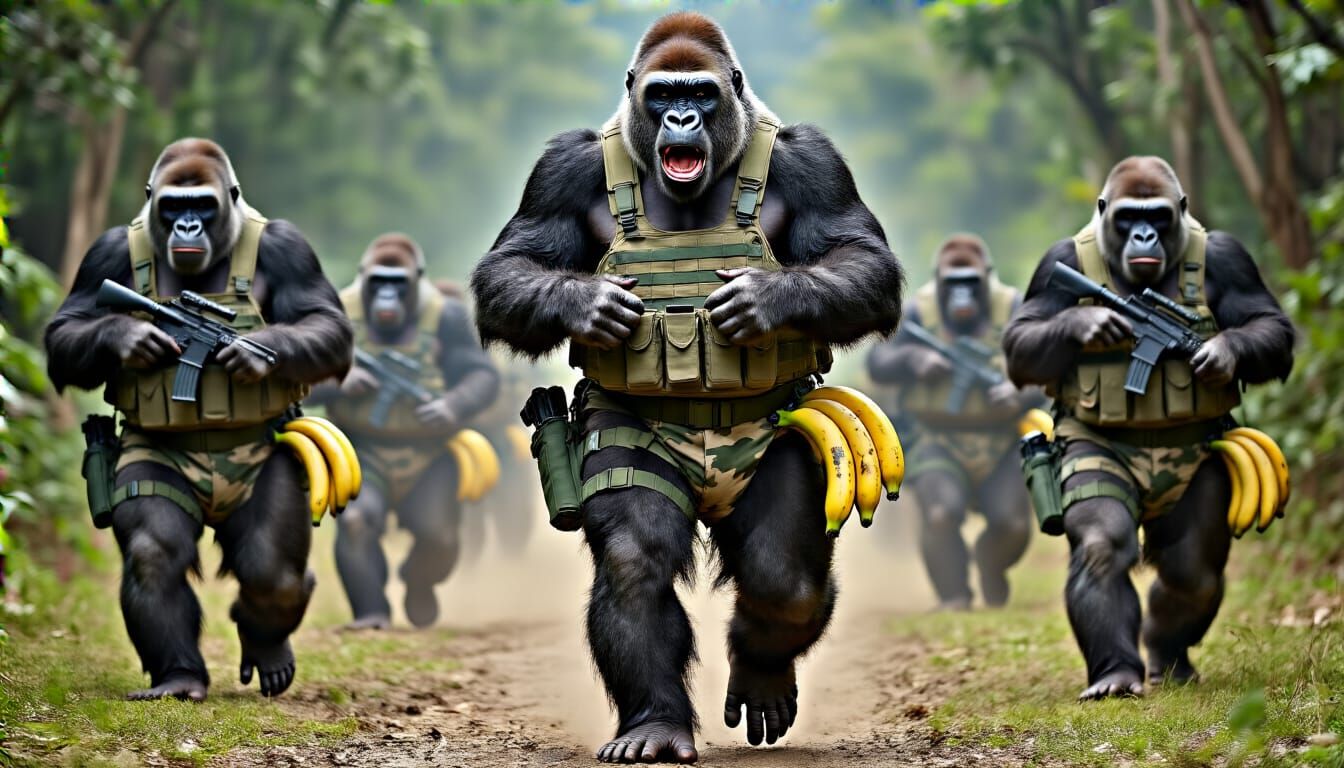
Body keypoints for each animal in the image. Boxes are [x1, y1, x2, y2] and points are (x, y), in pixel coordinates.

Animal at [45, 138, 353, 702]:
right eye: (173, 205)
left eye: (204, 206)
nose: (187, 226)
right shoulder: (104, 252)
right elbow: (67, 327)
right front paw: (130, 337)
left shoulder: (290, 247)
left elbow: (326, 321)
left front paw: (255, 354)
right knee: (155, 551)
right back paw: (180, 677)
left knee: (272, 571)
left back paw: (269, 652)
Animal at [309, 234, 499, 630]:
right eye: (379, 280)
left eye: (397, 282)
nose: (386, 296)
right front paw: (355, 380)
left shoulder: (455, 321)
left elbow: (479, 370)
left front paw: (441, 411)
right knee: (361, 522)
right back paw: (372, 613)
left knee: (437, 533)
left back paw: (418, 598)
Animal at [471, 12, 903, 764]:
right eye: (663, 94)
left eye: (701, 93)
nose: (680, 118)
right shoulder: (561, 169)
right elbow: (512, 263)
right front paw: (587, 305)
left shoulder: (815, 163)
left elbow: (860, 257)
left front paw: (764, 298)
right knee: (636, 559)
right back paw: (654, 724)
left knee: (782, 577)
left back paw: (762, 673)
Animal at [867, 234, 1040, 610]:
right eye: (953, 282)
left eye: (971, 281)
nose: (961, 296)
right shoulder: (910, 313)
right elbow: (881, 356)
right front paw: (924, 362)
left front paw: (1005, 395)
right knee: (942, 512)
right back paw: (956, 596)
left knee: (1010, 521)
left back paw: (991, 581)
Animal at [1002, 156, 1294, 701]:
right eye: (1127, 217)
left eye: (1157, 215)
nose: (1143, 235)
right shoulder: (1054, 264)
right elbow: (1020, 337)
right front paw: (1091, 324)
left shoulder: (1231, 258)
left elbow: (1271, 324)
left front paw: (1218, 355)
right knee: (1106, 548)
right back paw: (1117, 673)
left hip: (1203, 489)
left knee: (1191, 571)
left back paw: (1169, 662)